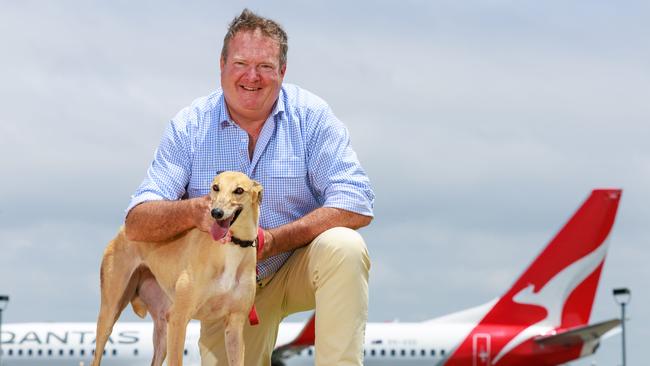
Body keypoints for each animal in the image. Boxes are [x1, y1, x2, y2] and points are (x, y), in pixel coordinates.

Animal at [92, 172, 264, 366]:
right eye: (215, 187)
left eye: (239, 190)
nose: (216, 213)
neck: (231, 247)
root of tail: (123, 230)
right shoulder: (179, 318)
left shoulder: (235, 324)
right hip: (110, 312)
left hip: (163, 327)